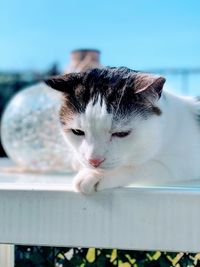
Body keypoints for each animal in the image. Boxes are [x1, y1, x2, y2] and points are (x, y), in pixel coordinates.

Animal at [44, 67, 200, 195]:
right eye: (77, 132)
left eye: (121, 134)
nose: (94, 161)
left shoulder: (181, 165)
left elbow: (140, 166)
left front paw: (93, 175)